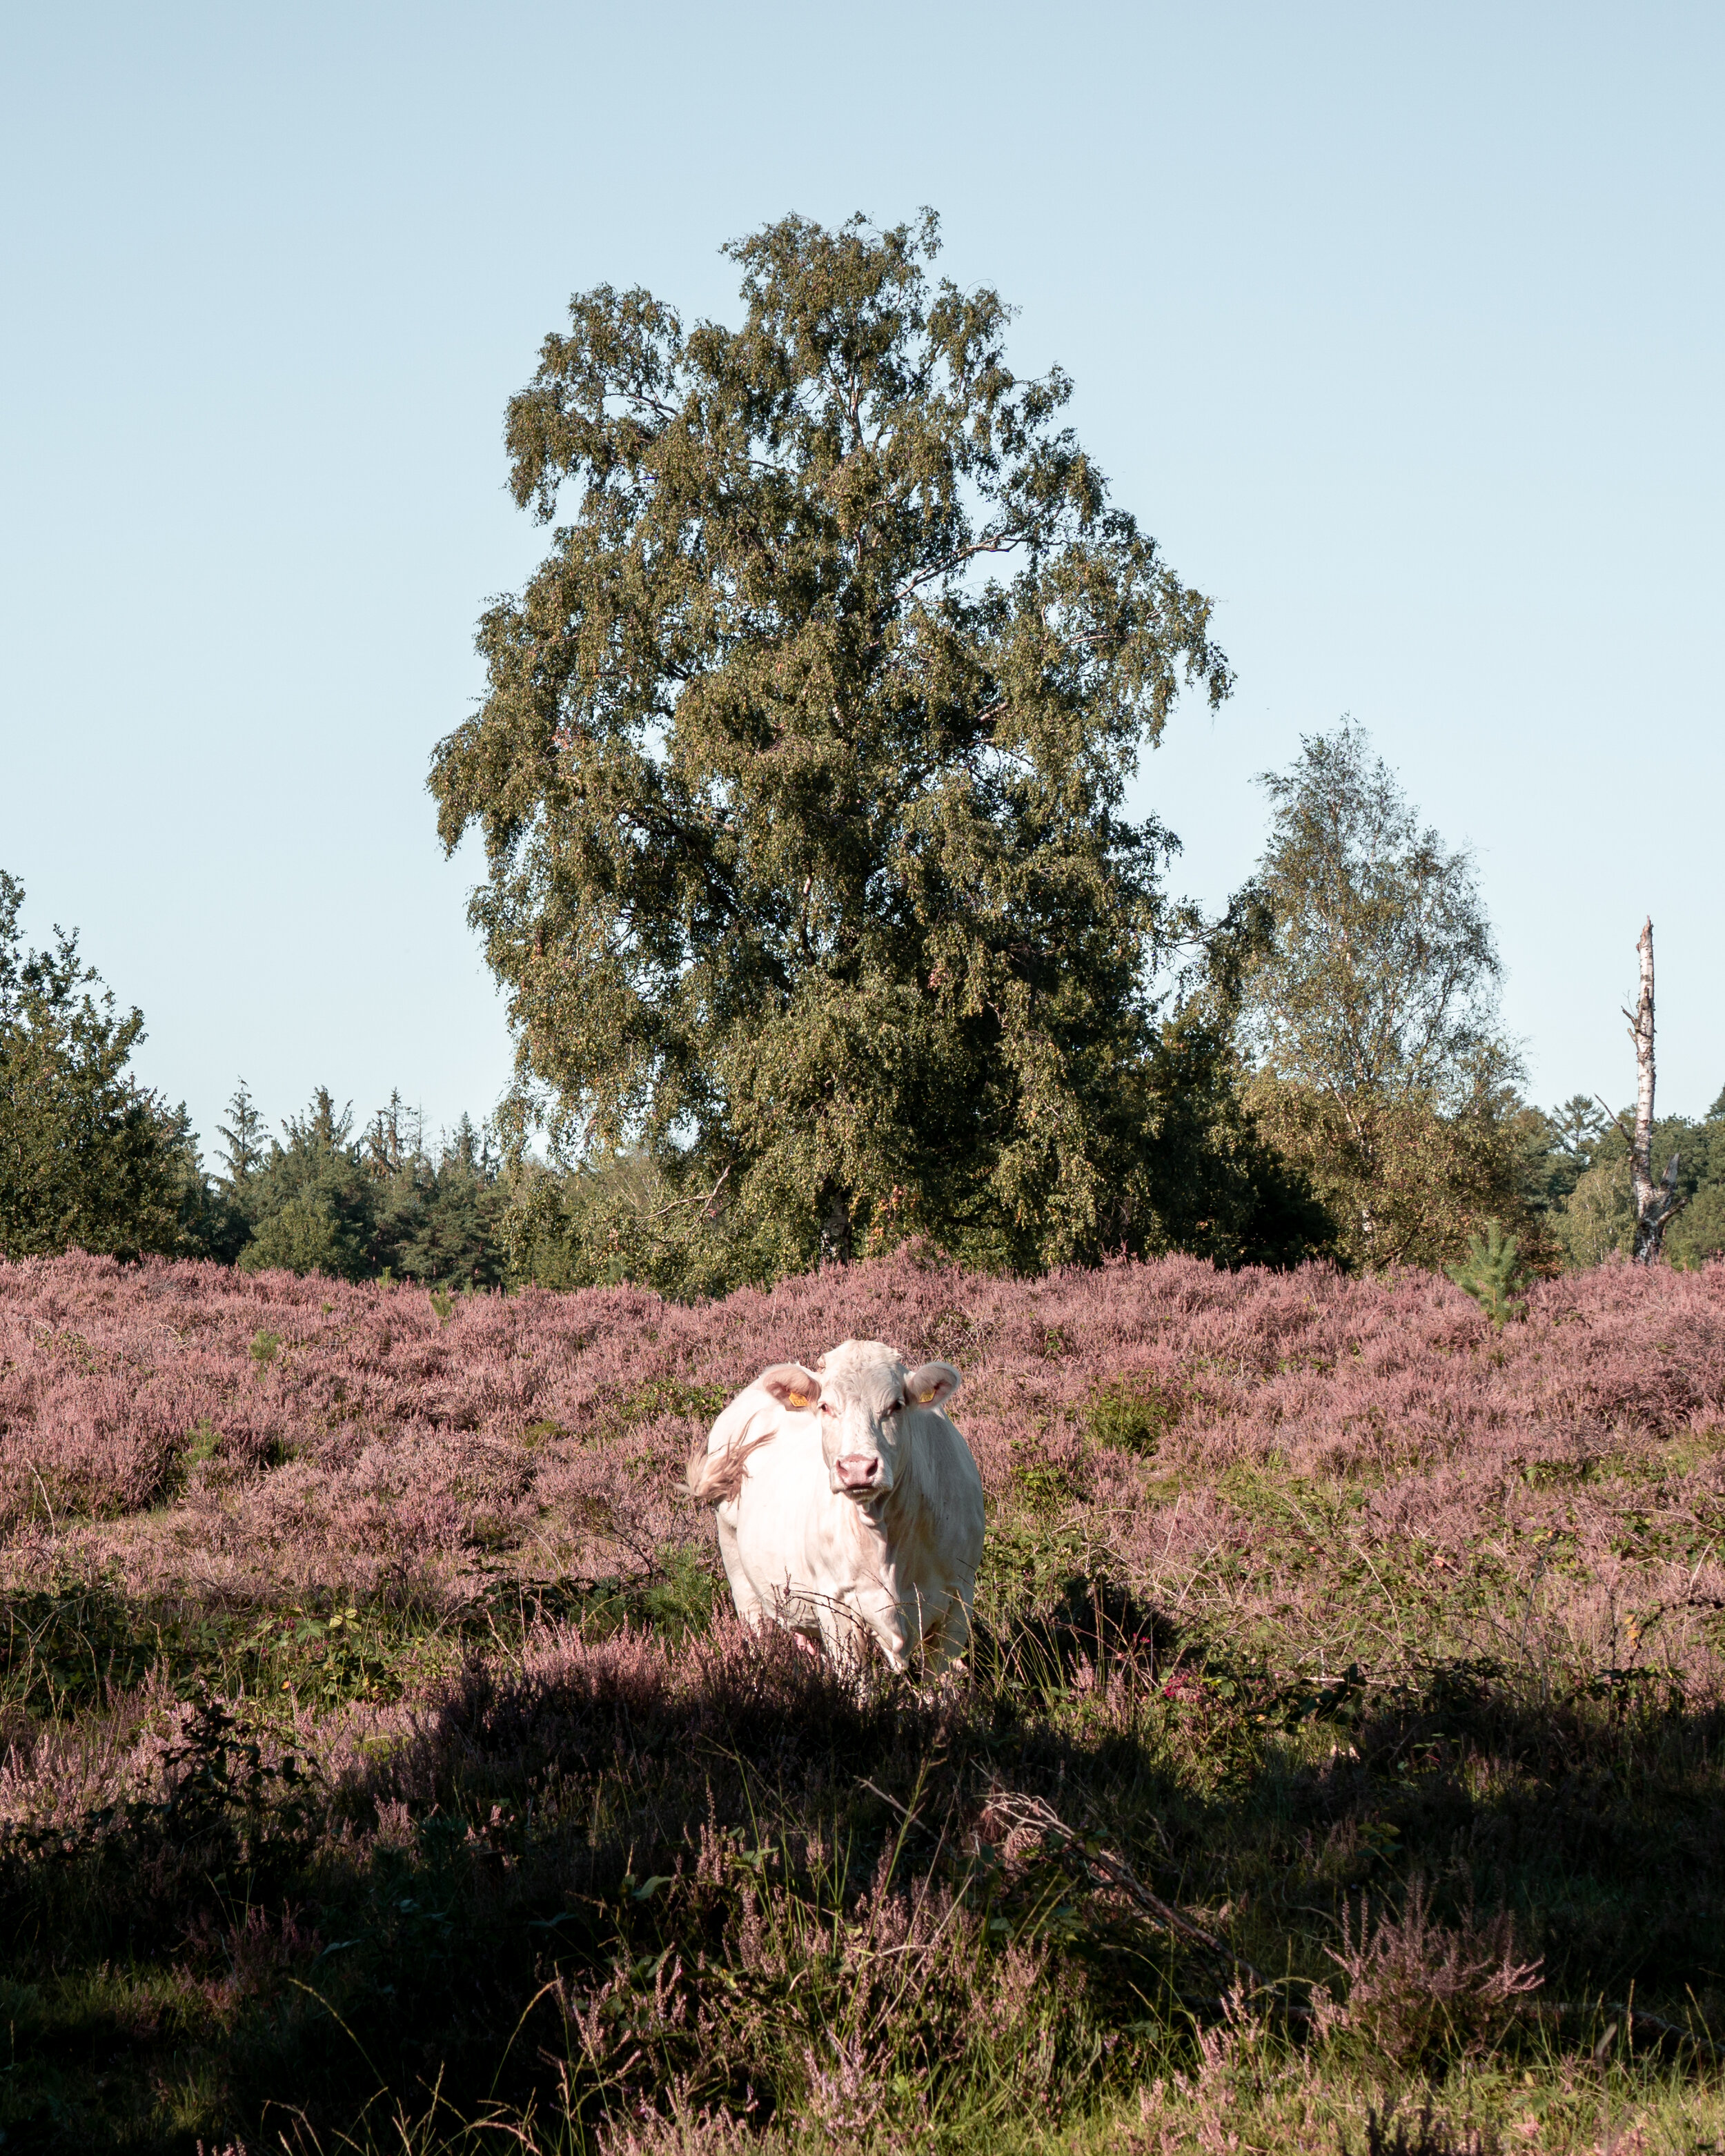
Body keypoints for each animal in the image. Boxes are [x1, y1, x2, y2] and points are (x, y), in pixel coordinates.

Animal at [685, 1338, 986, 1677]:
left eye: (896, 1405)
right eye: (825, 1406)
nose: (857, 1468)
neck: (885, 1539)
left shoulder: (958, 1601)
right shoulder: (836, 1606)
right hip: (738, 1569)